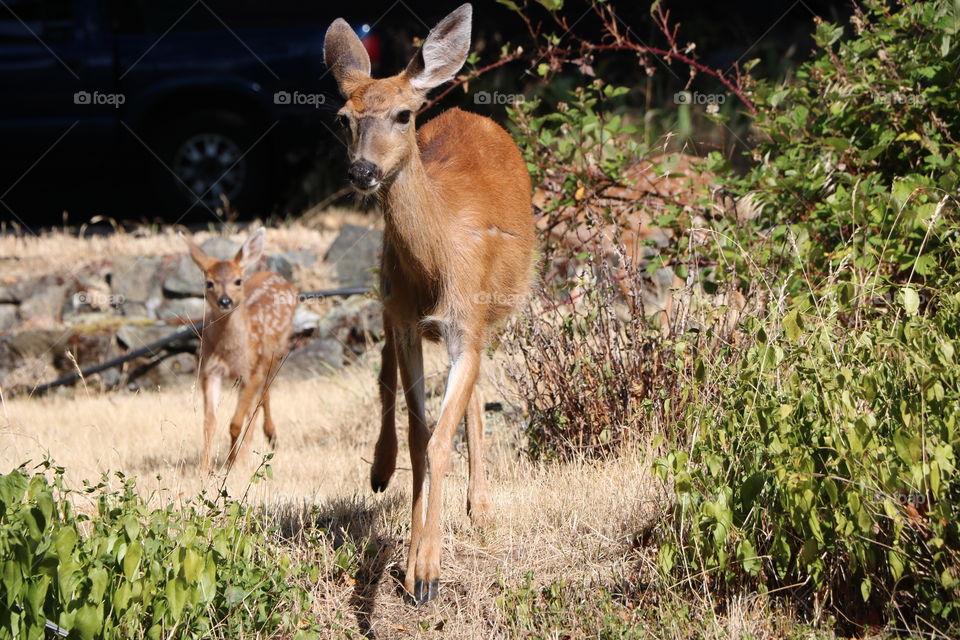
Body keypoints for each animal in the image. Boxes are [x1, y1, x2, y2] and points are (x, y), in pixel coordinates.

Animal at [181, 230, 296, 476]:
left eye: (237, 280)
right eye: (209, 282)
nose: (225, 301)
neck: (230, 352)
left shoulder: (249, 372)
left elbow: (235, 422)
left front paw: (231, 463)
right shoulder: (209, 371)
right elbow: (209, 422)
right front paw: (205, 468)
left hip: (277, 352)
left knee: (261, 397)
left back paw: (266, 440)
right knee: (259, 400)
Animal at [322, 3, 532, 604]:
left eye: (402, 115)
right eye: (343, 118)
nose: (362, 172)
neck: (438, 263)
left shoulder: (467, 321)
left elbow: (440, 438)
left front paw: (427, 574)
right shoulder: (407, 320)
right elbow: (420, 436)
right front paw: (416, 559)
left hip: (490, 313)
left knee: (474, 394)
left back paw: (480, 505)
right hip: (388, 295)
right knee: (385, 373)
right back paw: (380, 467)